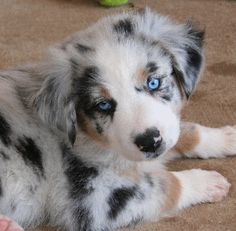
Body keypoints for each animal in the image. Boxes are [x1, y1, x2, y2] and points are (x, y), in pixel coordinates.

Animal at [0, 7, 236, 231]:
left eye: (153, 83)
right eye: (103, 105)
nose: (150, 142)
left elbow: (185, 131)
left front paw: (226, 137)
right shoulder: (94, 199)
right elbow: (164, 184)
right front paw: (207, 182)